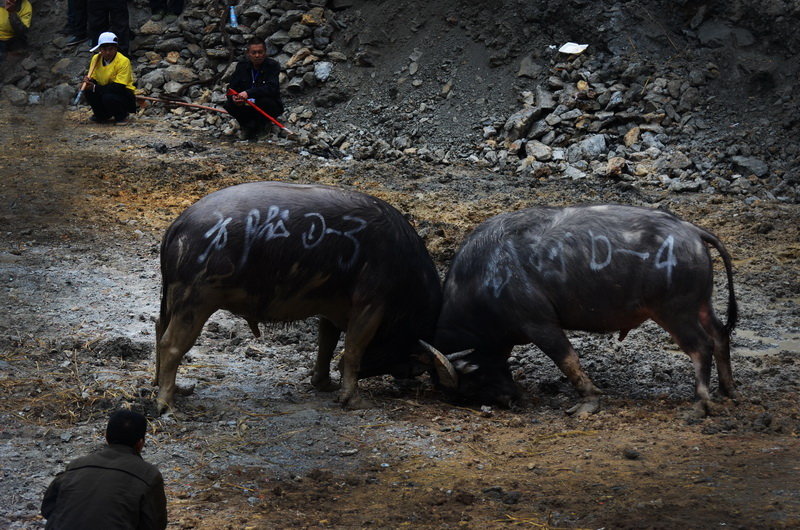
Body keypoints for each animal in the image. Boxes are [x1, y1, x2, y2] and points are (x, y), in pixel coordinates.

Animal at [155, 182, 444, 412]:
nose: (411, 374)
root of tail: (178, 224)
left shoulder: (333, 306)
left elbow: (326, 344)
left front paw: (325, 385)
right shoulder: (371, 303)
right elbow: (353, 350)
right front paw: (354, 401)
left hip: (172, 299)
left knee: (159, 330)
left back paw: (170, 388)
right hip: (195, 299)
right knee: (172, 344)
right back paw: (167, 404)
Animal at [424, 204, 736, 414]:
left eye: (470, 383)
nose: (510, 400)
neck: (483, 278)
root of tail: (691, 231)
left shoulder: (539, 323)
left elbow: (568, 360)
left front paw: (589, 399)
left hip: (675, 311)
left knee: (701, 347)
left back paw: (701, 402)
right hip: (700, 305)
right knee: (720, 335)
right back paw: (728, 389)